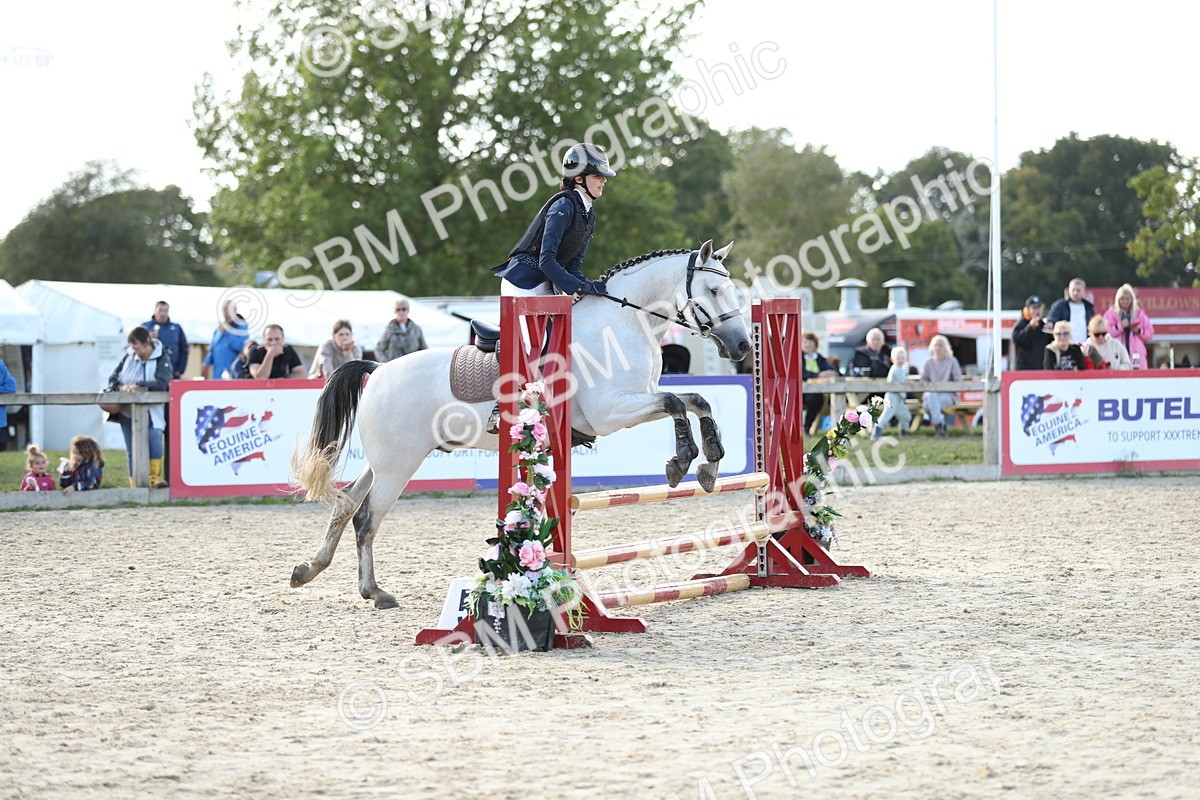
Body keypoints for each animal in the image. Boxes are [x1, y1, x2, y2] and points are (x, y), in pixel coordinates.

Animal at [289, 240, 751, 608]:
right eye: (714, 290)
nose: (743, 345)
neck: (621, 325)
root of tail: (378, 369)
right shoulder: (612, 411)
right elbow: (675, 402)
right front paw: (683, 461)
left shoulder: (637, 398)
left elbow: (696, 400)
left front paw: (709, 466)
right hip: (398, 463)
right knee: (366, 518)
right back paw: (375, 592)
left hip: (385, 460)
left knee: (346, 505)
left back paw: (311, 570)